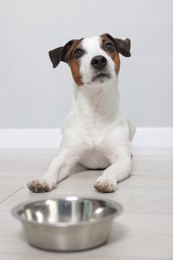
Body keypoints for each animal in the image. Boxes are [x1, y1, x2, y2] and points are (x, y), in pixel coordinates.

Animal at [27, 33, 135, 193]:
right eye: (78, 52)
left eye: (108, 46)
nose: (99, 60)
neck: (94, 111)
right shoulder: (65, 156)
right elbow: (54, 167)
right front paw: (43, 180)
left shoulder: (121, 158)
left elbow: (111, 169)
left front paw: (106, 180)